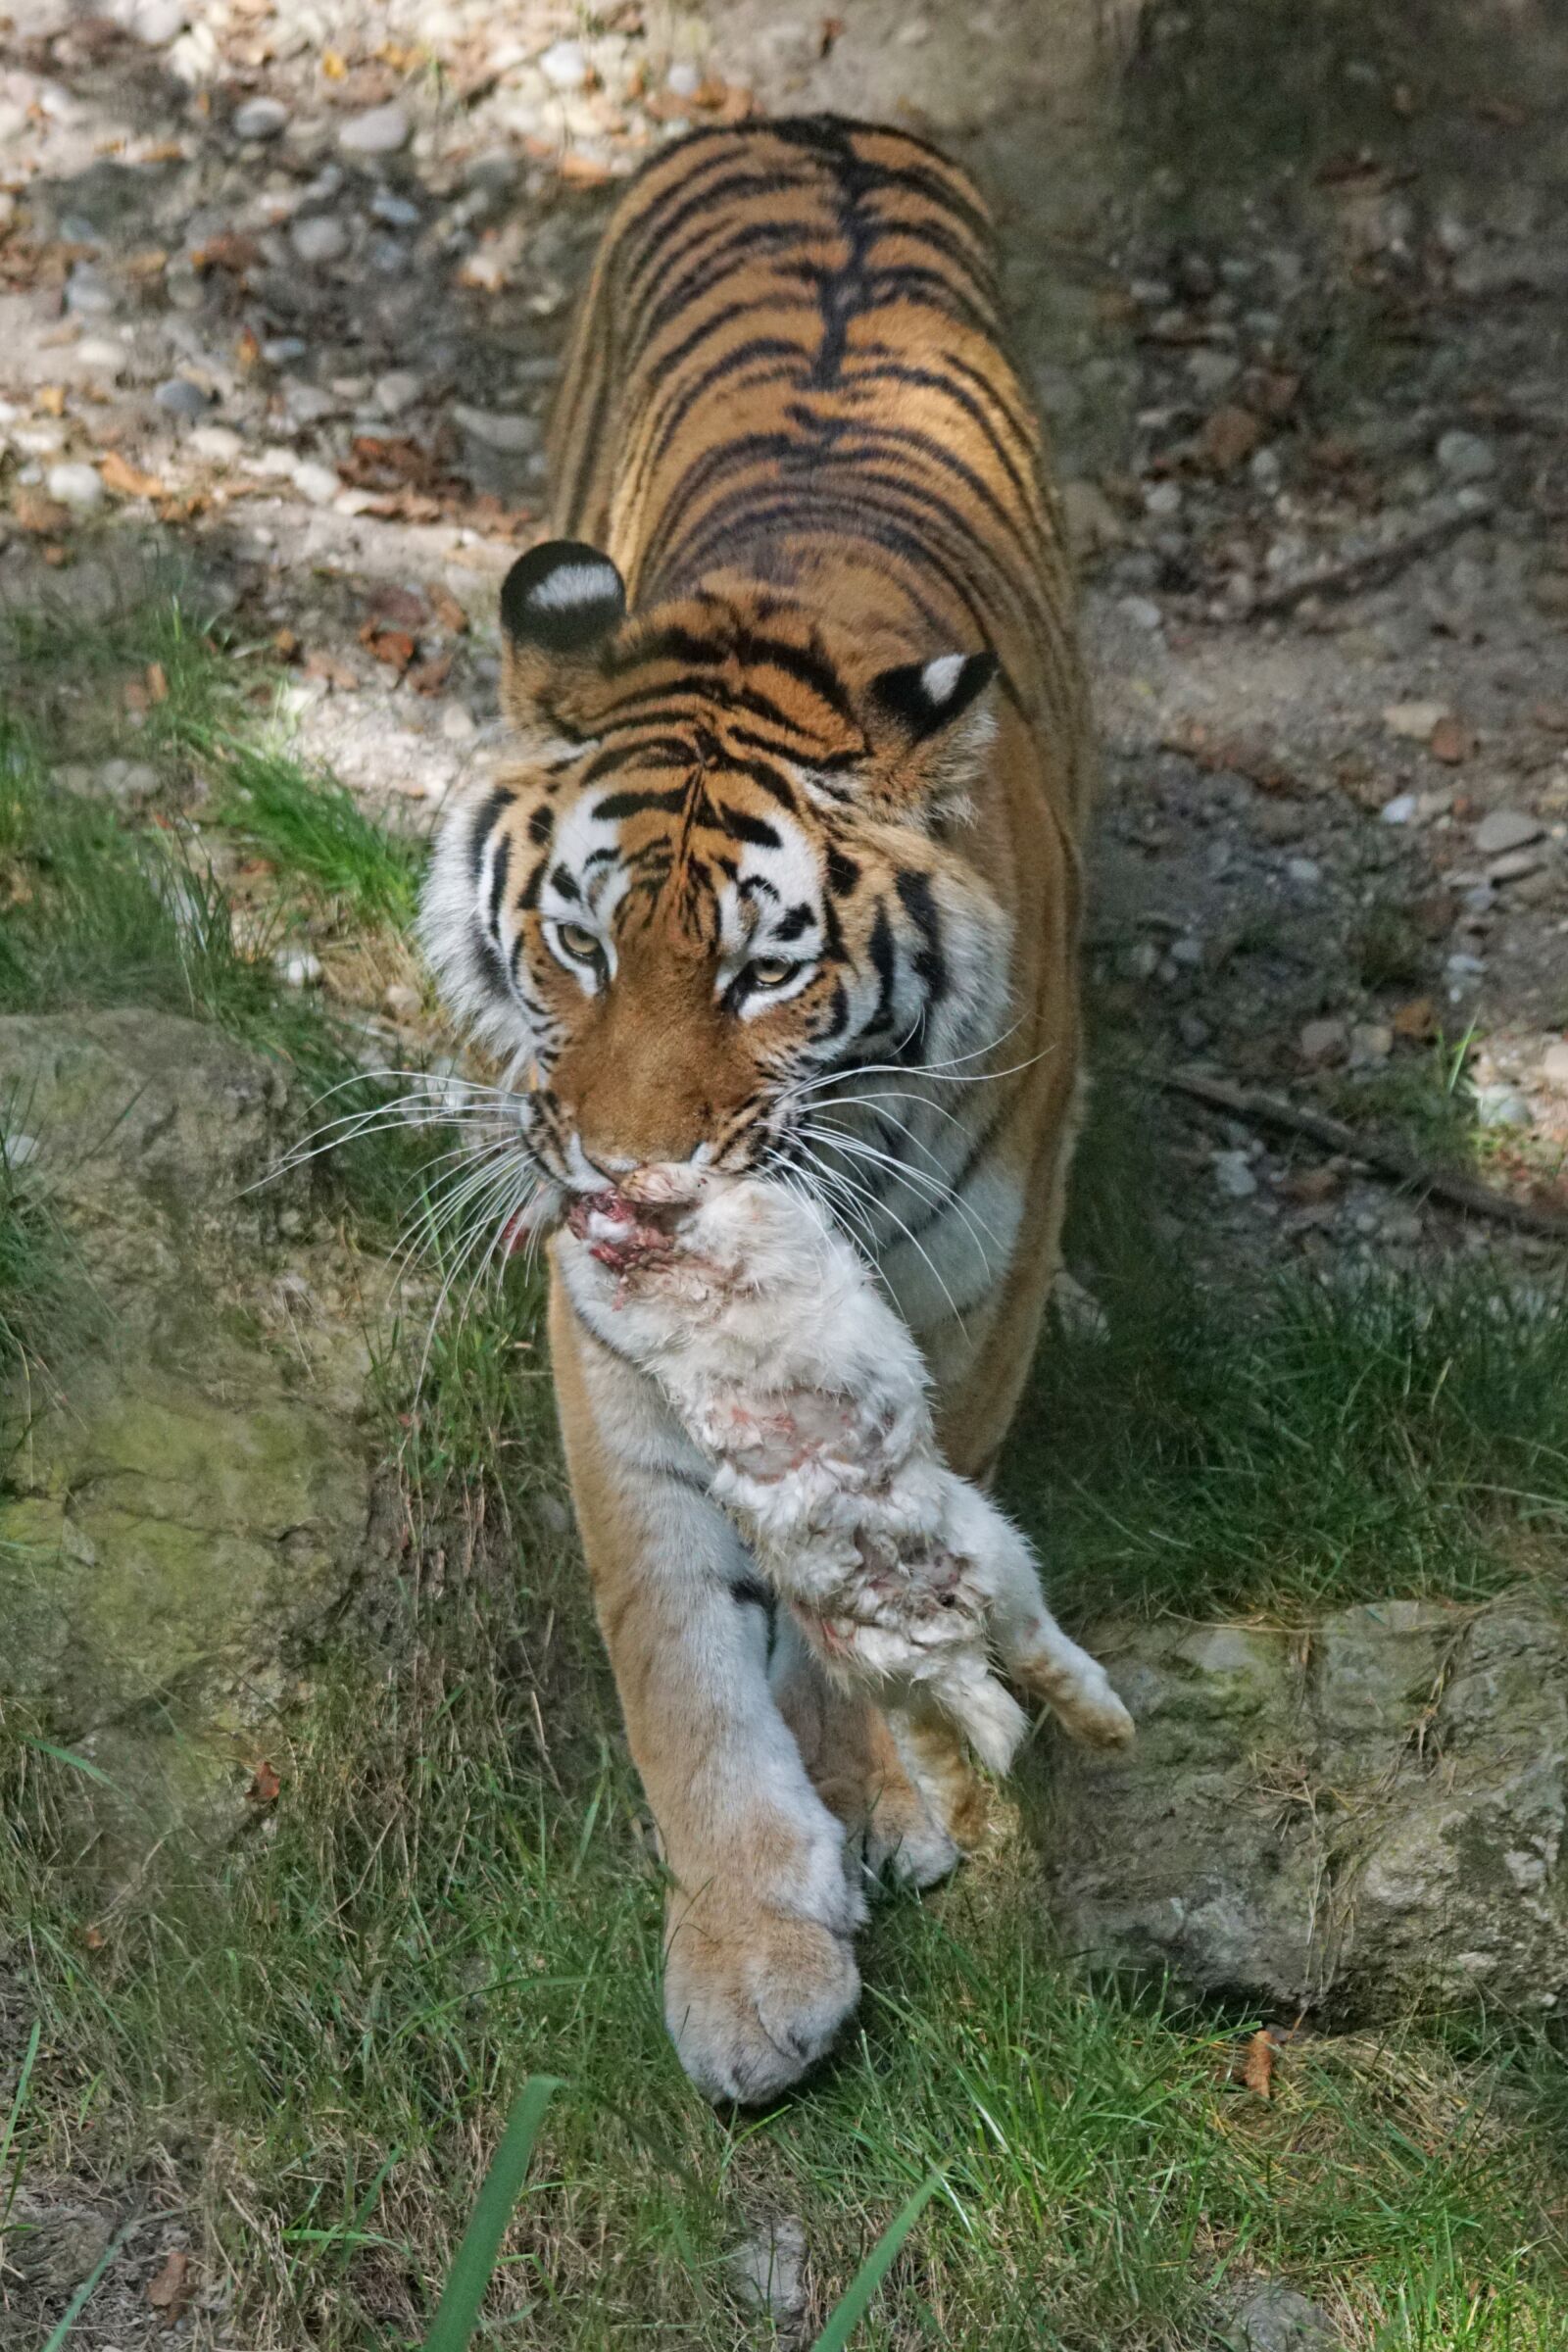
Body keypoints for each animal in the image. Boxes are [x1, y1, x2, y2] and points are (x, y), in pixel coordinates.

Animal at [422, 110, 1100, 2107]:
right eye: (578, 941)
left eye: (757, 973)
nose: (635, 1173)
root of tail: (816, 118)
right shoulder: (604, 1332)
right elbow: (677, 1640)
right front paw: (744, 1945)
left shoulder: (966, 1286)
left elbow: (865, 1565)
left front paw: (881, 1789)